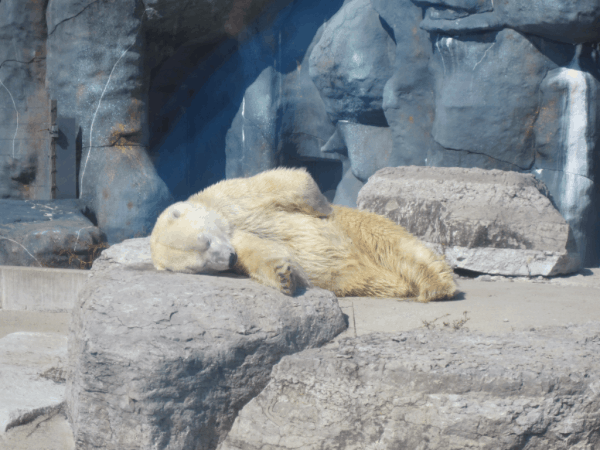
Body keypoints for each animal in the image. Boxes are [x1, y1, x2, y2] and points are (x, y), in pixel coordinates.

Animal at [150, 168, 454, 302]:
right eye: (202, 266)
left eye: (206, 241)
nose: (228, 259)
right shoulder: (238, 238)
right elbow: (258, 253)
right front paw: (284, 277)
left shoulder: (230, 196)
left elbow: (287, 180)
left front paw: (322, 206)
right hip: (357, 278)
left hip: (359, 229)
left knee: (399, 247)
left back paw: (436, 287)